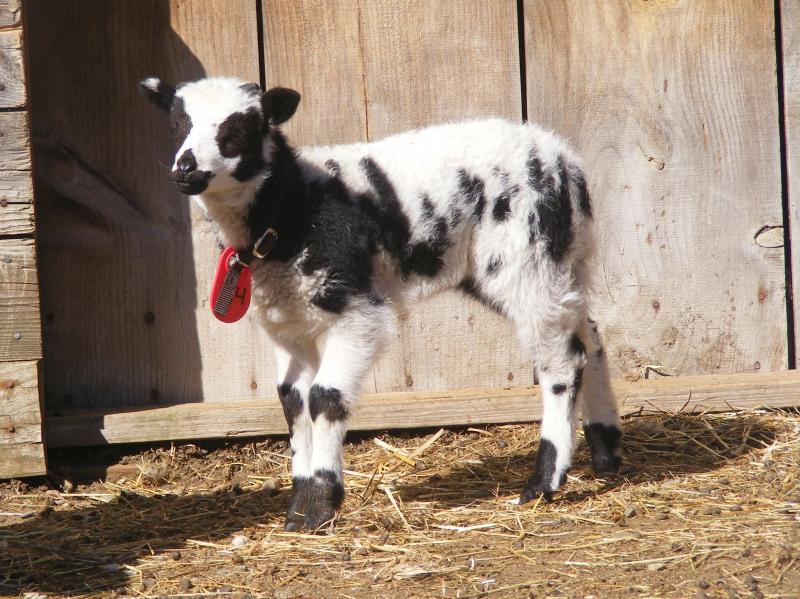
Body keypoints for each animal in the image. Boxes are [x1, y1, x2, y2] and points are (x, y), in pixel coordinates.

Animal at [139, 76, 622, 531]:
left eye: (237, 130)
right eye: (178, 124)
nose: (186, 167)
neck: (295, 208)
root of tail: (566, 162)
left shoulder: (357, 312)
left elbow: (325, 398)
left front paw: (321, 505)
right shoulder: (289, 326)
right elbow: (293, 403)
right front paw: (299, 509)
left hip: (524, 258)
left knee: (562, 363)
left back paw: (543, 482)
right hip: (563, 261)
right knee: (590, 336)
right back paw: (606, 449)